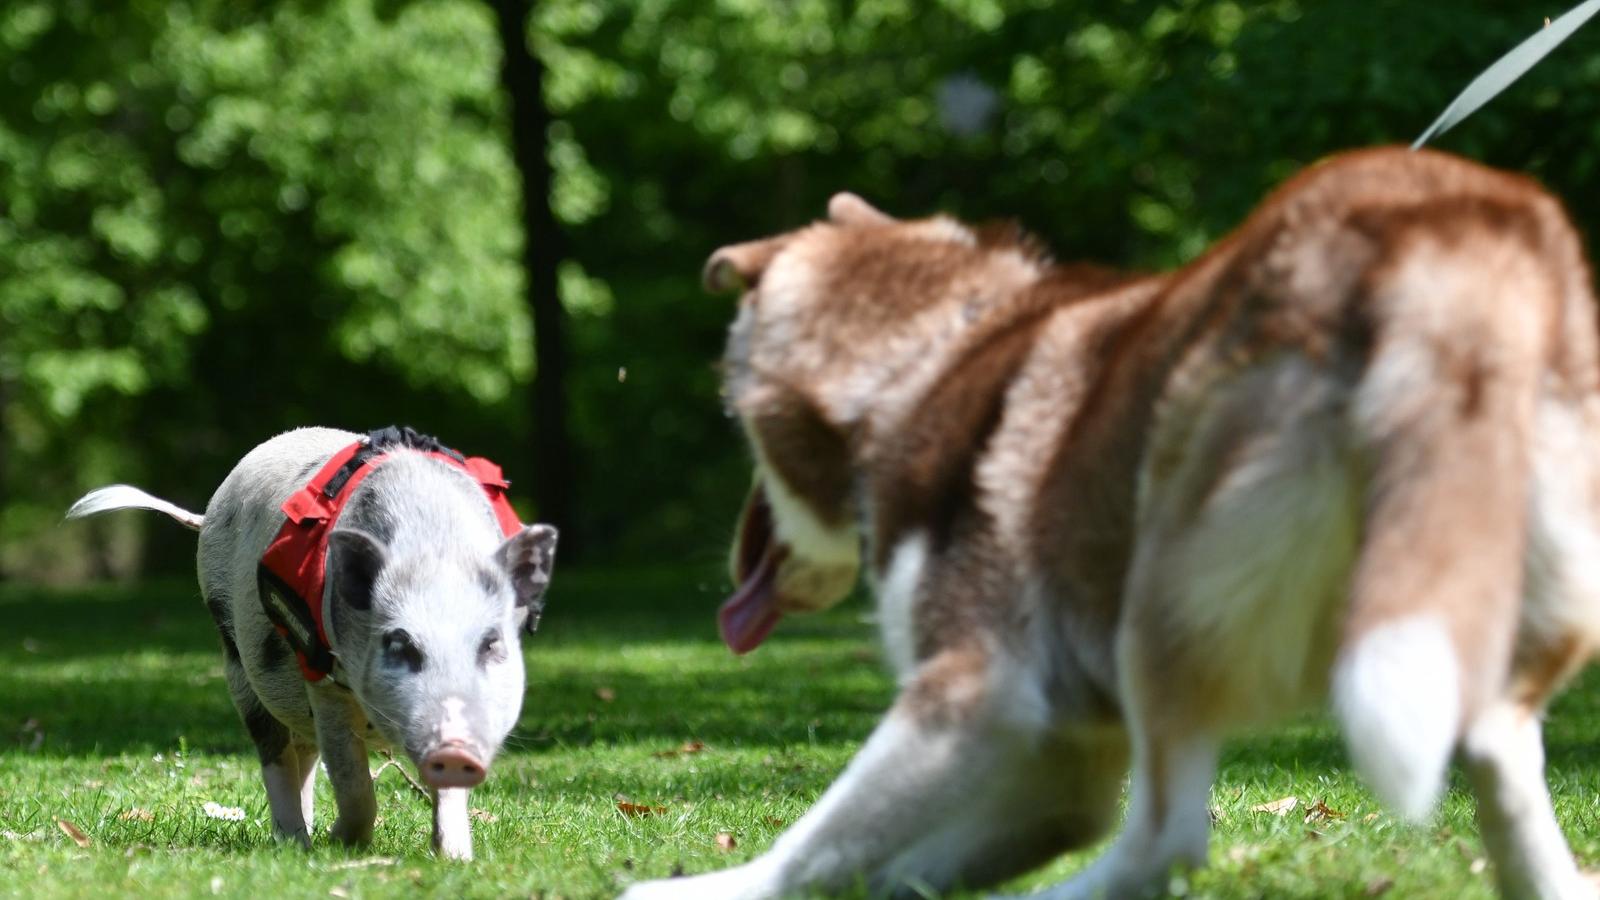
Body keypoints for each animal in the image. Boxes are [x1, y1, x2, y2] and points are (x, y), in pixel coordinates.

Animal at [65, 422, 556, 858]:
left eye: (491, 644)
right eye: (399, 644)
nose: (454, 748)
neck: (433, 552)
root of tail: (207, 513)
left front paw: (455, 857)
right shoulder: (324, 681)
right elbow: (354, 783)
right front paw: (342, 843)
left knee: (303, 753)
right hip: (237, 658)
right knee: (276, 753)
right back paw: (297, 843)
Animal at [617, 148, 1600, 896]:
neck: (927, 349)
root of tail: (1448, 229)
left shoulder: (976, 689)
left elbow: (819, 841)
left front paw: (710, 889)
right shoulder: (1066, 758)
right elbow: (897, 860)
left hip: (1161, 600)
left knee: (1167, 839)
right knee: (1498, 753)